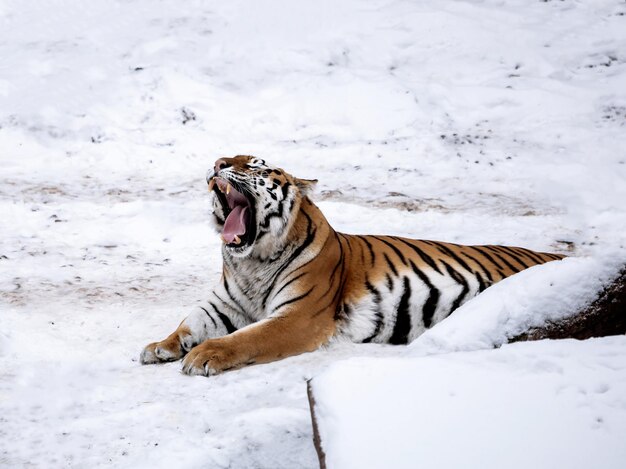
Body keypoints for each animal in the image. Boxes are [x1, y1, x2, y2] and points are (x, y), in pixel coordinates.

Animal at [140, 155, 560, 374]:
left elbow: (246, 337)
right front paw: (160, 346)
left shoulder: (298, 317)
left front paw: (203, 355)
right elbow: (188, 323)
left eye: (255, 165)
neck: (251, 263)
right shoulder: (223, 305)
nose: (218, 162)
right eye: (226, 159)